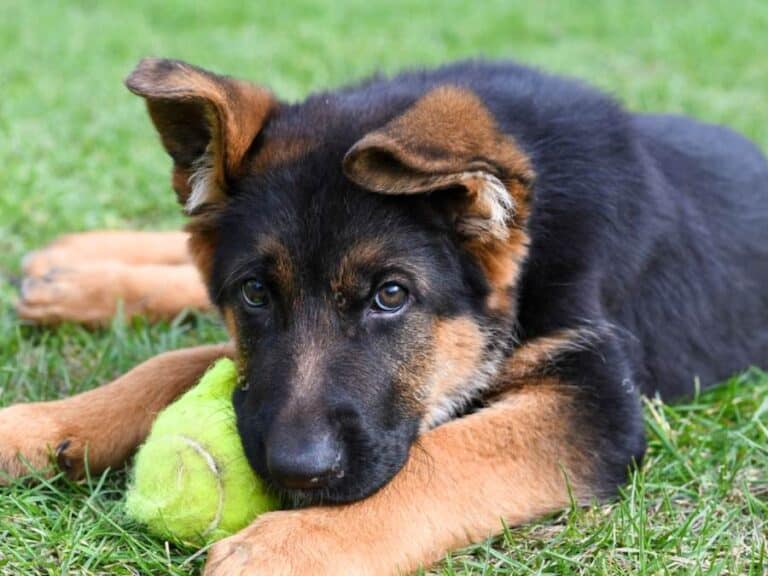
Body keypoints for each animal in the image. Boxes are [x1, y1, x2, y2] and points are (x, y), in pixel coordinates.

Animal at [1, 59, 768, 576]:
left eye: (391, 296)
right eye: (255, 294)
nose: (294, 473)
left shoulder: (597, 400)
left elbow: (443, 455)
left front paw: (298, 543)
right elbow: (171, 362)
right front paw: (38, 426)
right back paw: (71, 271)